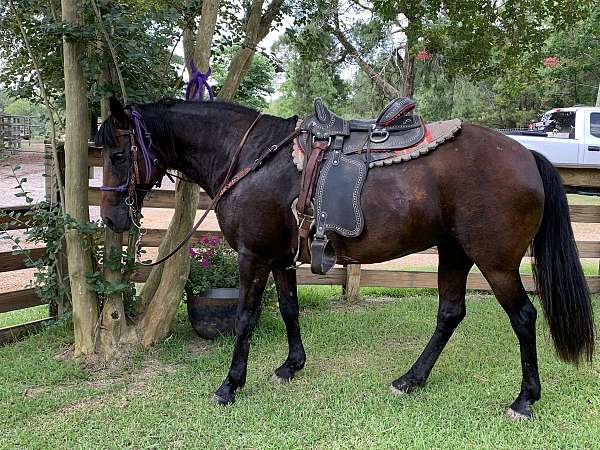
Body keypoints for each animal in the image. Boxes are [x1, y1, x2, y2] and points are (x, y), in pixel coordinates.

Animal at [96, 97, 592, 418]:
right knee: (450, 313)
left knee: (524, 317)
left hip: (495, 262)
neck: (251, 157)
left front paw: (230, 385)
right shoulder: (280, 258)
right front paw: (291, 366)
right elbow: (290, 309)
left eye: (118, 153)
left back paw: (525, 399)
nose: (112, 218)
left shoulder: (253, 257)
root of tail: (526, 154)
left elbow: (245, 319)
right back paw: (411, 379)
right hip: (454, 253)